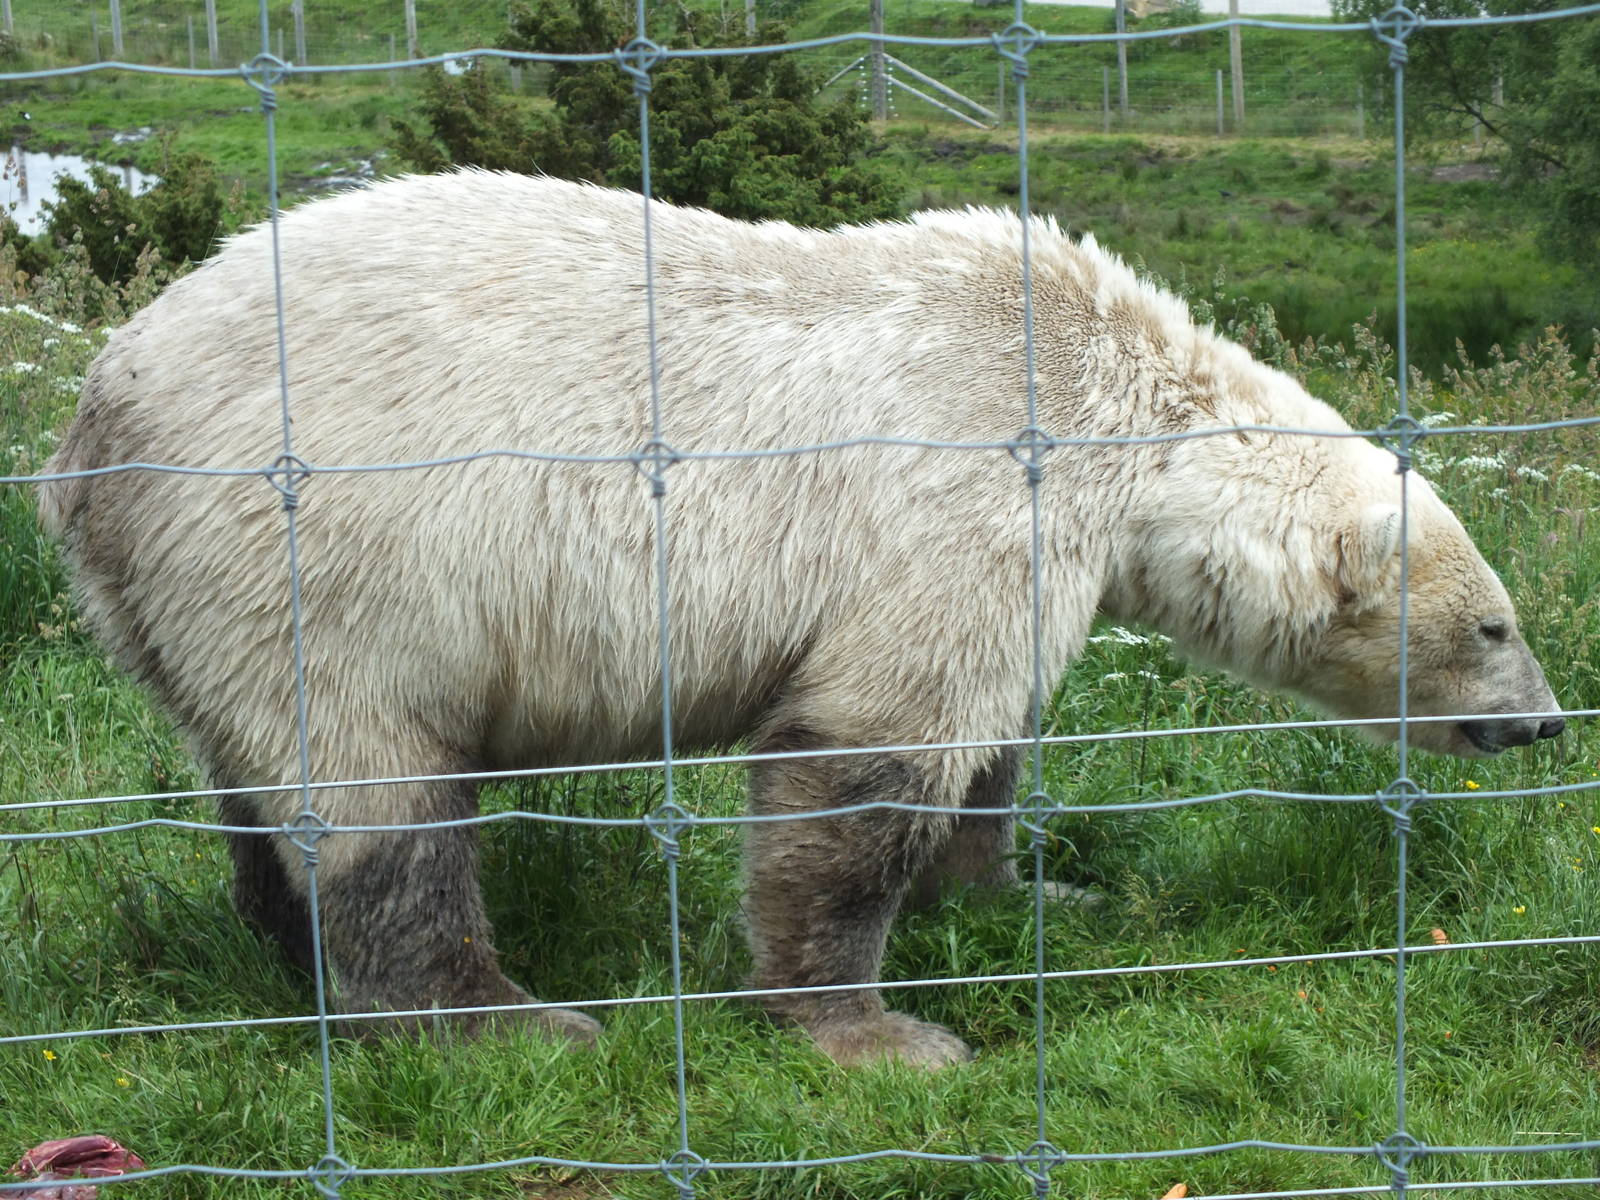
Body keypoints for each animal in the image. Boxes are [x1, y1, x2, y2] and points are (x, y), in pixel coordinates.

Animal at [36, 171, 1563, 1068]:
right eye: (1495, 626)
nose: (1544, 721)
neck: (1113, 406)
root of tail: (92, 422)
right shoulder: (959, 489)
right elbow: (867, 753)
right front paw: (873, 1030)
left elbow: (989, 749)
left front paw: (1021, 890)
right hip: (321, 552)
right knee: (376, 790)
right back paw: (506, 1018)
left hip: (194, 597)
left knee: (256, 778)